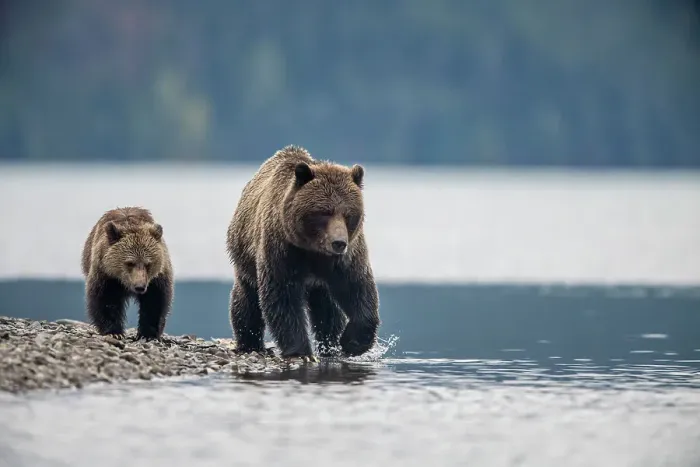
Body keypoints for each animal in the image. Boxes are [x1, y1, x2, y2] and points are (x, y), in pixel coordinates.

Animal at [81, 206, 174, 340]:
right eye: (130, 263)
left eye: (148, 264)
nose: (140, 286)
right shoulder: (106, 274)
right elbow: (106, 300)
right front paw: (114, 332)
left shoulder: (156, 278)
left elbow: (154, 301)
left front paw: (147, 334)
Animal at [226, 145, 381, 361]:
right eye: (324, 212)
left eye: (348, 214)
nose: (339, 243)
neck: (313, 250)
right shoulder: (282, 251)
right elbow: (283, 299)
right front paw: (301, 351)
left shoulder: (346, 258)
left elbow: (358, 287)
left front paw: (353, 342)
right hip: (245, 258)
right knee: (246, 302)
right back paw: (249, 343)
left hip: (320, 286)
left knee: (329, 311)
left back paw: (330, 345)